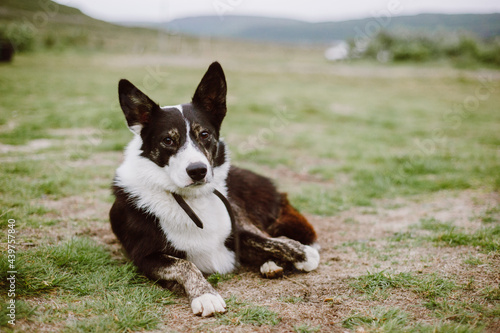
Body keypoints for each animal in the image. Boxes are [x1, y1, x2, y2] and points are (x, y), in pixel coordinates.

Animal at [109, 61, 320, 316]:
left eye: (204, 134)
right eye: (167, 140)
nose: (198, 170)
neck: (191, 199)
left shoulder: (236, 228)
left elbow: (267, 240)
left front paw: (303, 253)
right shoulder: (145, 257)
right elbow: (185, 264)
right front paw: (206, 295)